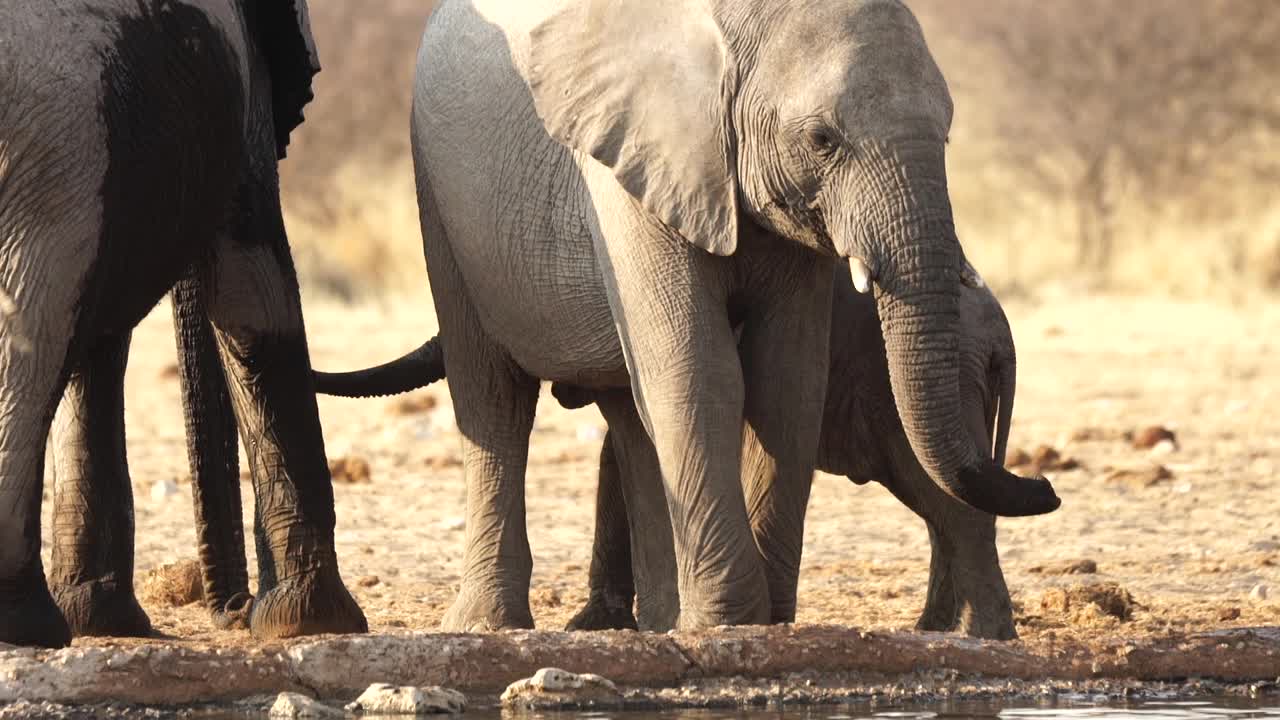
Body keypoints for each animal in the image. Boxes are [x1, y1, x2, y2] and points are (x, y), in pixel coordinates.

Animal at [1, 0, 371, 645]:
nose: (232, 610)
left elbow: (98, 350)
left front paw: (104, 621)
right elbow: (254, 298)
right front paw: (310, 624)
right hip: (57, 157)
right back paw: (27, 625)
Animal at [317, 0, 1059, 627]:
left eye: (948, 136)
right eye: (823, 139)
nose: (1046, 485)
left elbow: (784, 382)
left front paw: (751, 621)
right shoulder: (632, 164)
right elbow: (696, 372)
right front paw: (726, 622)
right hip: (439, 197)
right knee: (493, 399)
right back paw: (492, 627)